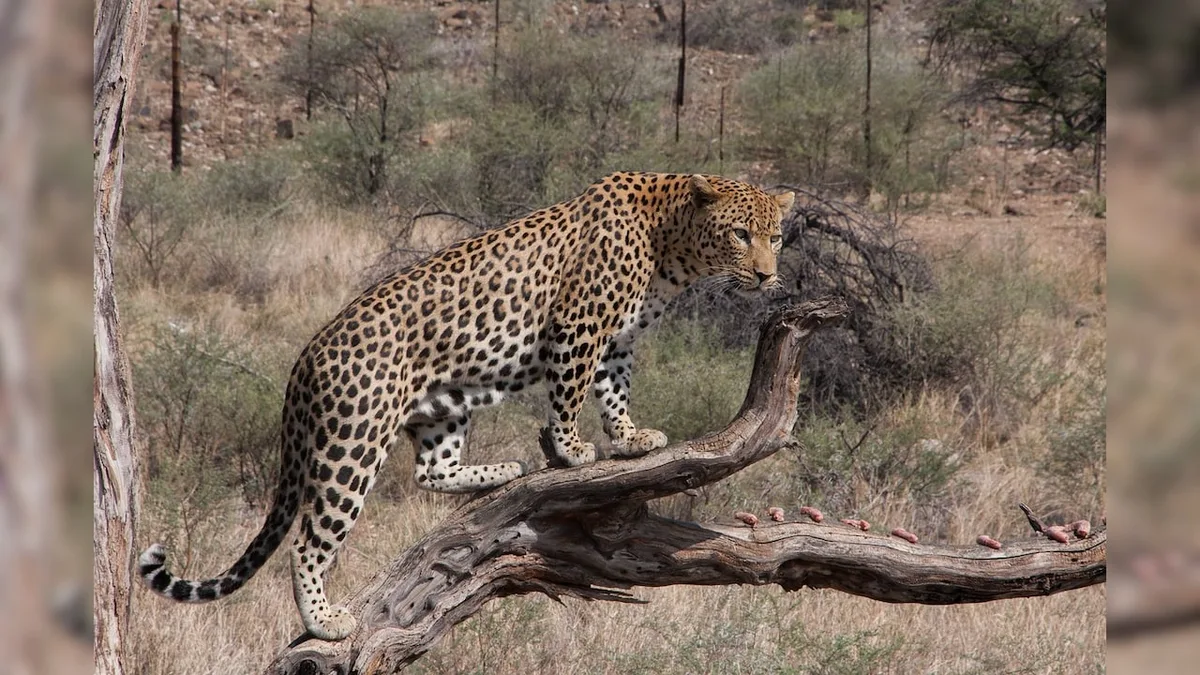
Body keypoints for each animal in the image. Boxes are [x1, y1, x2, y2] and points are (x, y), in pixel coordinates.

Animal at [138, 172, 795, 641]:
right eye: (740, 234)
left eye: (777, 236)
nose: (768, 277)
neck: (672, 246)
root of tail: (306, 355)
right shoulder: (578, 327)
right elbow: (569, 391)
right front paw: (571, 450)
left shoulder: (617, 341)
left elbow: (613, 391)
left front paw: (628, 438)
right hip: (353, 443)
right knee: (310, 540)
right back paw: (324, 621)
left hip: (443, 407)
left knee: (432, 471)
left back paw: (501, 471)